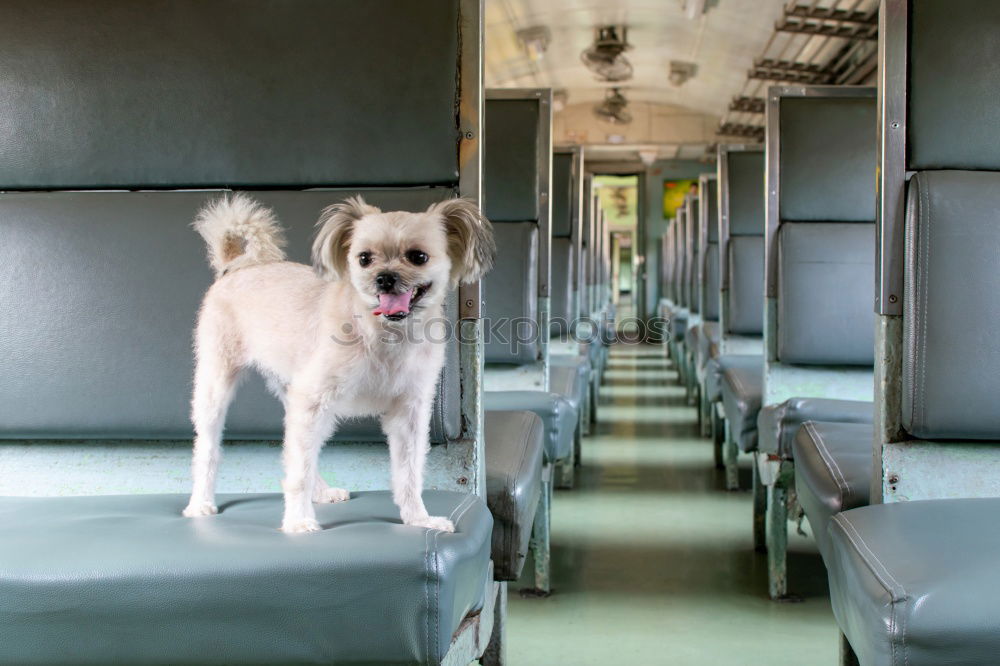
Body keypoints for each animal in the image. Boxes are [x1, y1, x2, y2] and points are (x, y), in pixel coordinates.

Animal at [184, 191, 496, 528]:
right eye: (364, 258)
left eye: (418, 257)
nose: (384, 278)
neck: (385, 335)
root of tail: (239, 267)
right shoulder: (312, 400)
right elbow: (299, 473)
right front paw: (298, 522)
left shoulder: (409, 412)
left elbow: (409, 473)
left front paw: (418, 519)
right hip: (218, 387)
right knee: (210, 449)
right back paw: (200, 503)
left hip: (298, 398)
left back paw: (321, 492)